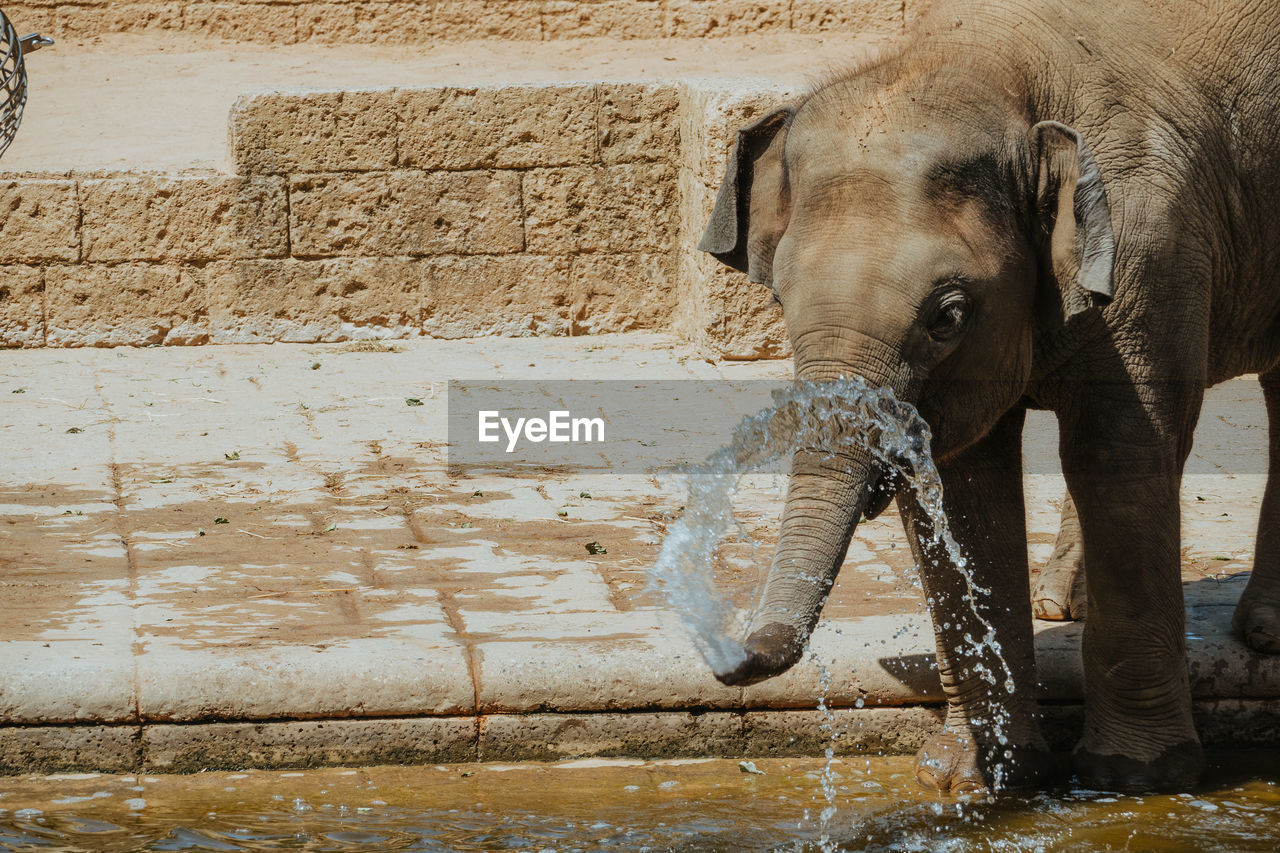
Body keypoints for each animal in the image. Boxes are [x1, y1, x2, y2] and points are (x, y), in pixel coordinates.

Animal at [701, 0, 1280, 788]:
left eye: (947, 315)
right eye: (780, 299)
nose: (725, 659)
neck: (999, 69)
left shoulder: (1153, 245)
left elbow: (1121, 454)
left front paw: (1136, 779)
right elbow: (967, 478)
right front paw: (972, 777)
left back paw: (1265, 636)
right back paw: (1065, 604)